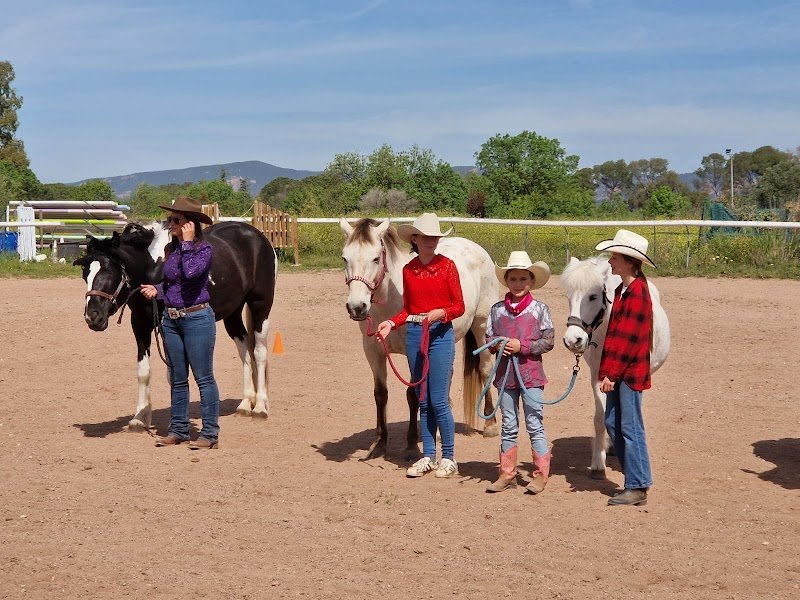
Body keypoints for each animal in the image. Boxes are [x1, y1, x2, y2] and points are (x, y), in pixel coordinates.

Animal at [74, 221, 277, 430]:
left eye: (110, 273)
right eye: (85, 275)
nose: (92, 316)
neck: (153, 267)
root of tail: (257, 236)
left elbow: (173, 375)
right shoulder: (140, 323)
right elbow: (143, 372)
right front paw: (140, 417)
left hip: (260, 306)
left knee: (259, 353)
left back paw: (260, 407)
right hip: (233, 313)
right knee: (245, 352)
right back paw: (245, 404)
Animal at [560, 256, 670, 479]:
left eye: (593, 296)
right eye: (569, 296)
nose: (573, 340)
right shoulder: (597, 376)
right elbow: (600, 418)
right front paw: (598, 462)